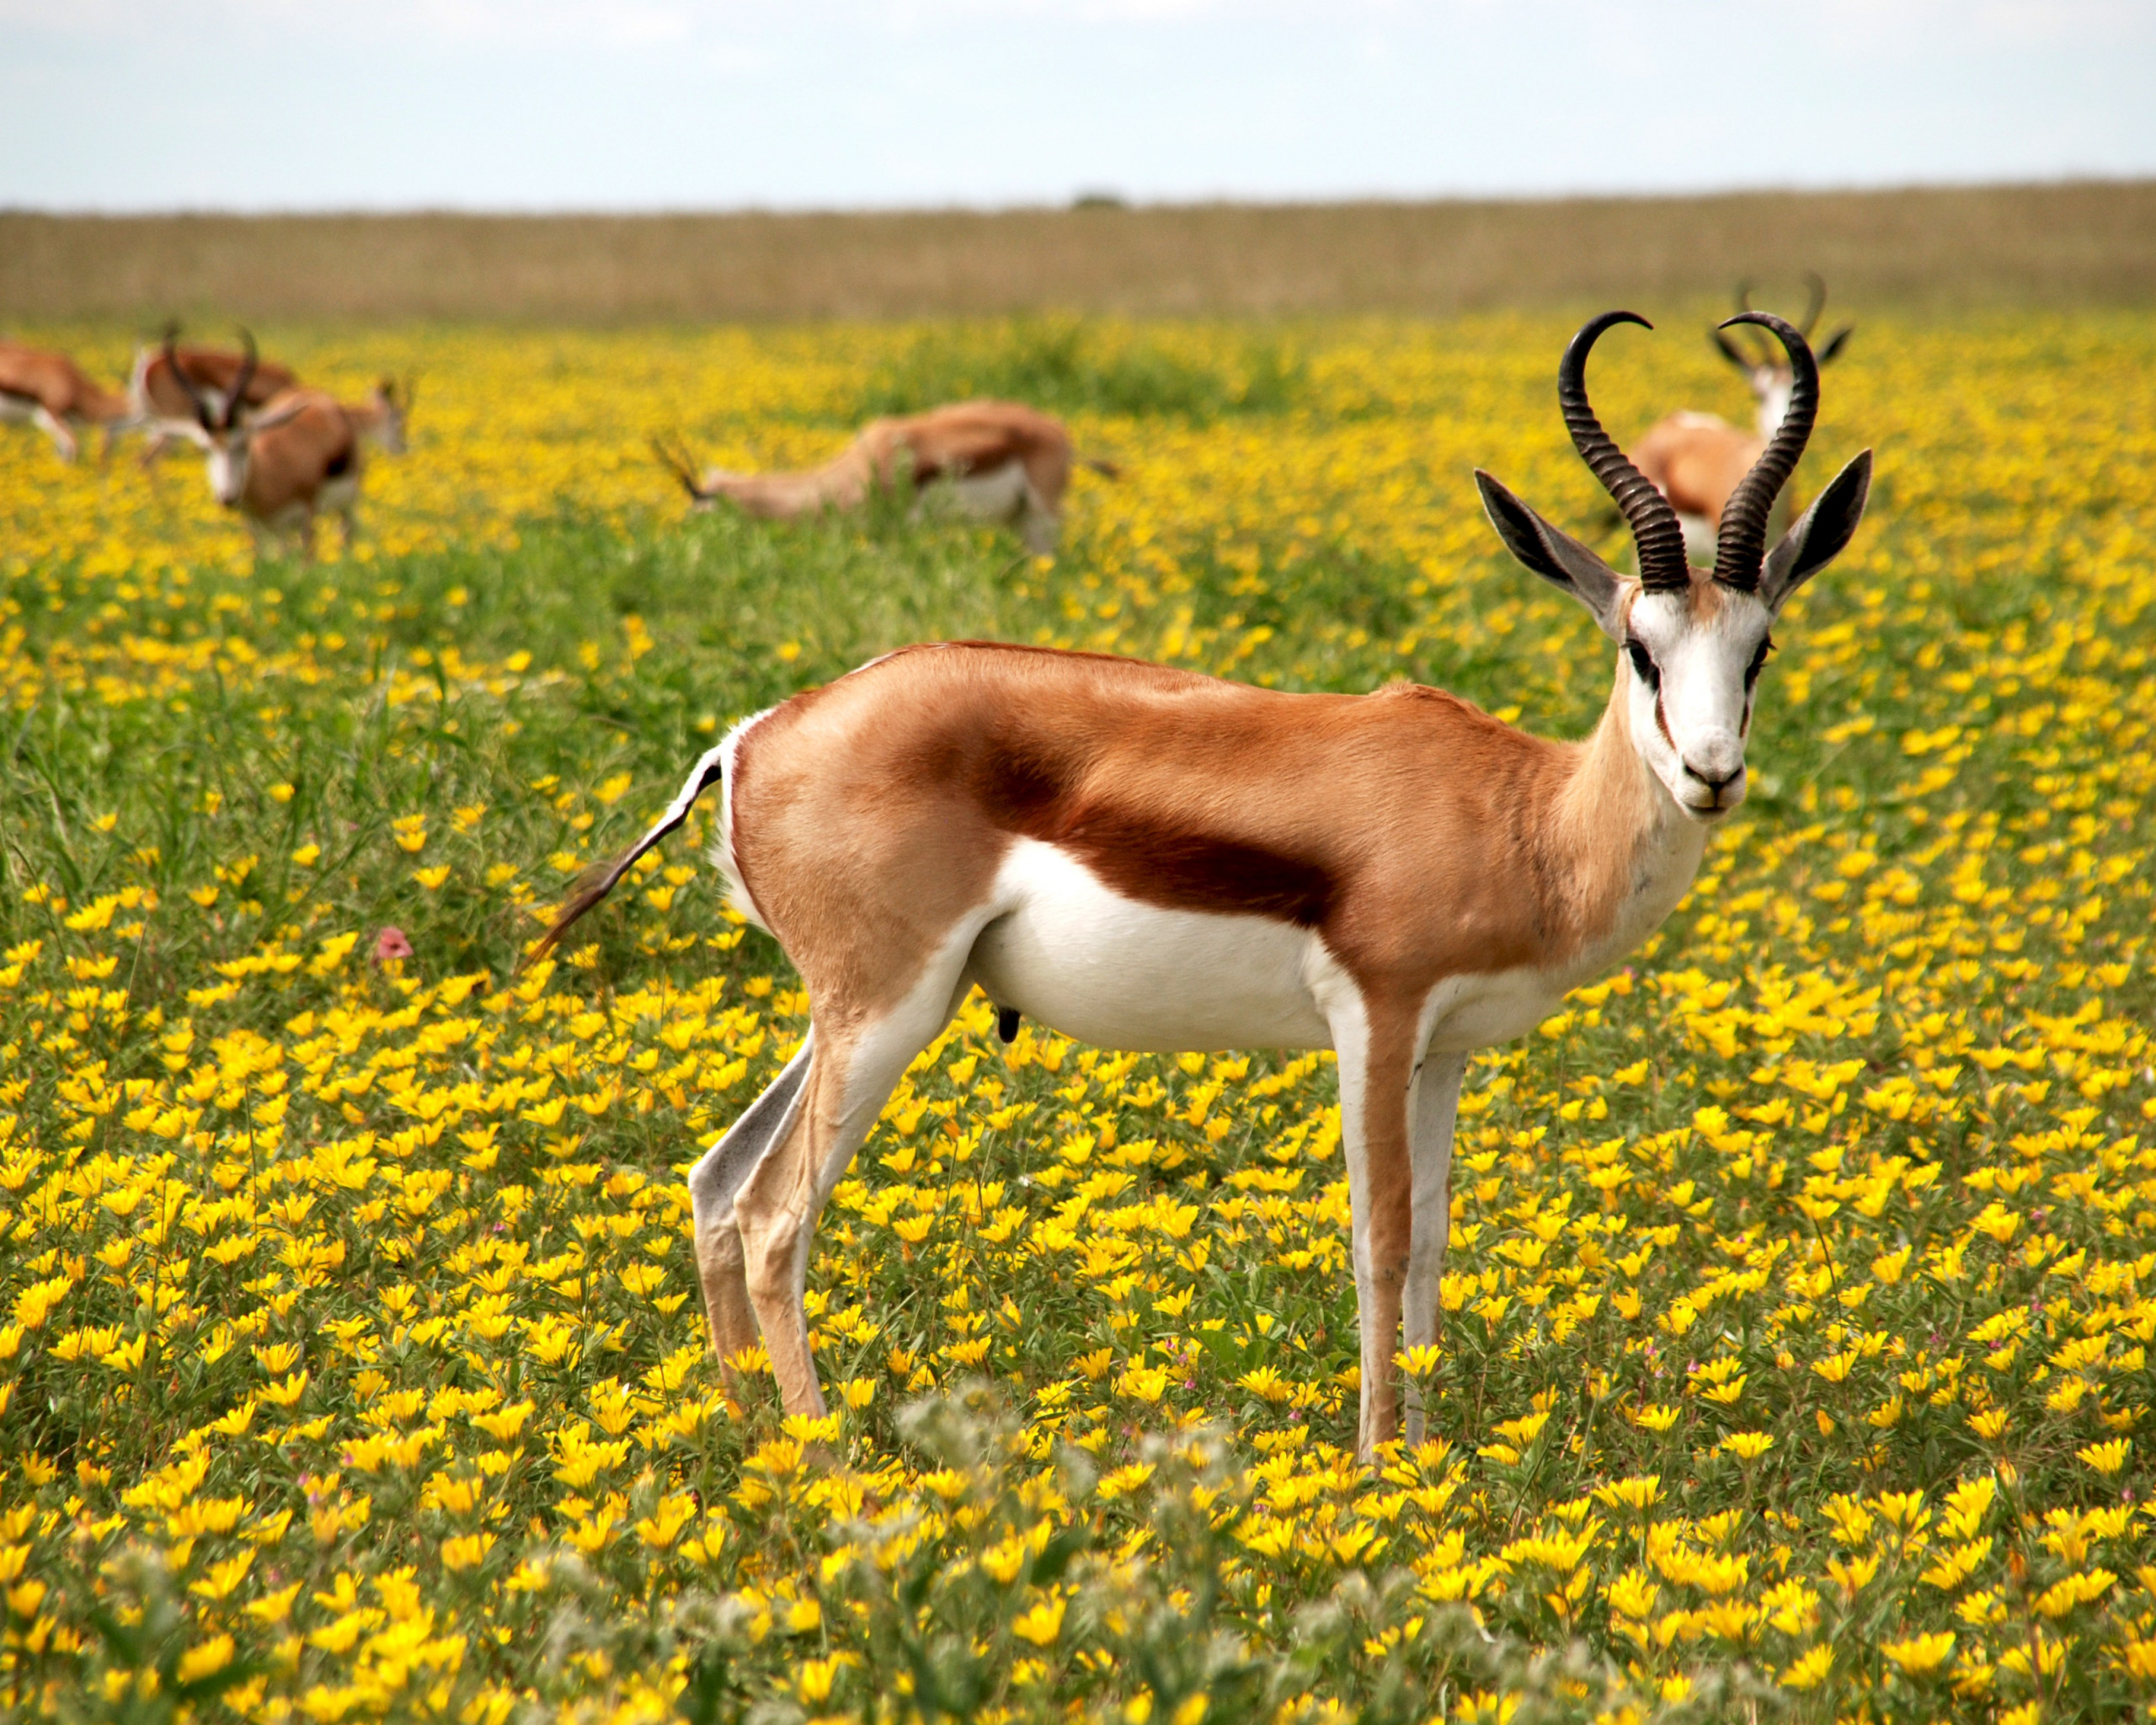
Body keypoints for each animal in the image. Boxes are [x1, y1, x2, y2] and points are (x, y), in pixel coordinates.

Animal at [654, 400, 1118, 556]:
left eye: (698, 501)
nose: (681, 535)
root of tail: (1061, 435)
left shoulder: (896, 528)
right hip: (1018, 520)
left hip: (1042, 516)